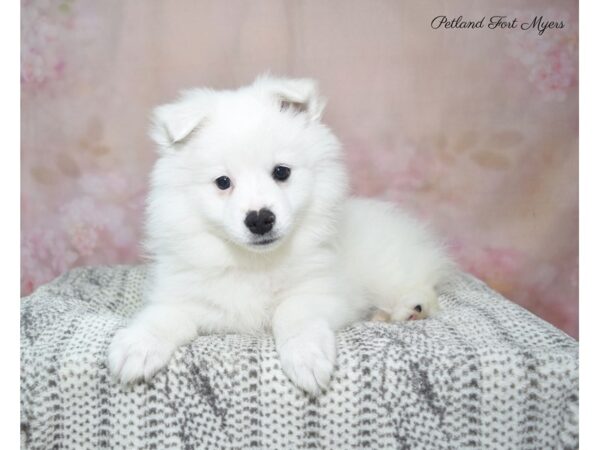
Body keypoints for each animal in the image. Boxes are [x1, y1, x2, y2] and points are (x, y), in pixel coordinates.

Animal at [109, 75, 454, 396]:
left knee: (420, 282)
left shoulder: (322, 292)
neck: (254, 262)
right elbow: (162, 316)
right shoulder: (186, 296)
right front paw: (136, 346)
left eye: (281, 172)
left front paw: (306, 358)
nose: (260, 219)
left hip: (388, 264)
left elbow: (292, 312)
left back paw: (410, 309)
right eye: (223, 182)